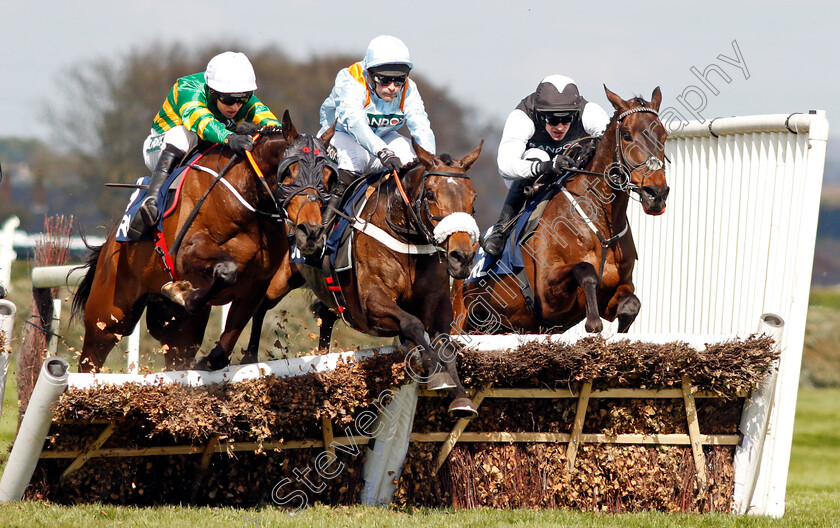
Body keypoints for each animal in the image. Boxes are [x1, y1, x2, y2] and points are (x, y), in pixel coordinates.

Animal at [69, 112, 338, 372]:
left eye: (328, 176)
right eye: (288, 172)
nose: (311, 231)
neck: (245, 201)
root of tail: (109, 244)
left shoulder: (257, 285)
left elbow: (225, 346)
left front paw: (211, 359)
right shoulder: (186, 252)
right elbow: (226, 270)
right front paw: (182, 293)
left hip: (178, 334)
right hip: (108, 317)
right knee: (90, 359)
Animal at [450, 86, 672, 334]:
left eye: (663, 135)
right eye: (626, 135)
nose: (656, 193)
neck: (600, 222)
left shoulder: (615, 291)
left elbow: (631, 304)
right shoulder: (547, 296)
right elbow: (586, 271)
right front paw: (592, 322)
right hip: (460, 319)